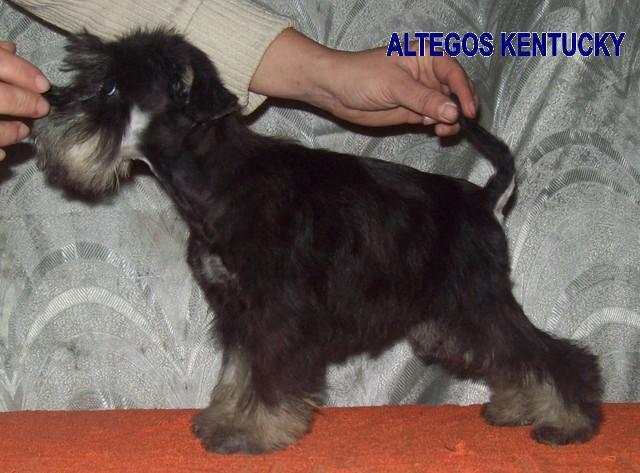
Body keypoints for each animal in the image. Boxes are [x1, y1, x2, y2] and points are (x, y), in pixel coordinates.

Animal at [33, 29, 602, 454]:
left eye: (111, 89)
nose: (47, 111)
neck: (219, 181)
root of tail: (484, 198)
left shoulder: (275, 313)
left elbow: (266, 377)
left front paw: (252, 433)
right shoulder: (237, 312)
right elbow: (237, 373)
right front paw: (224, 419)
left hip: (475, 300)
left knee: (550, 353)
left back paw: (569, 422)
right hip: (452, 318)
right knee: (512, 355)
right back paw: (519, 406)